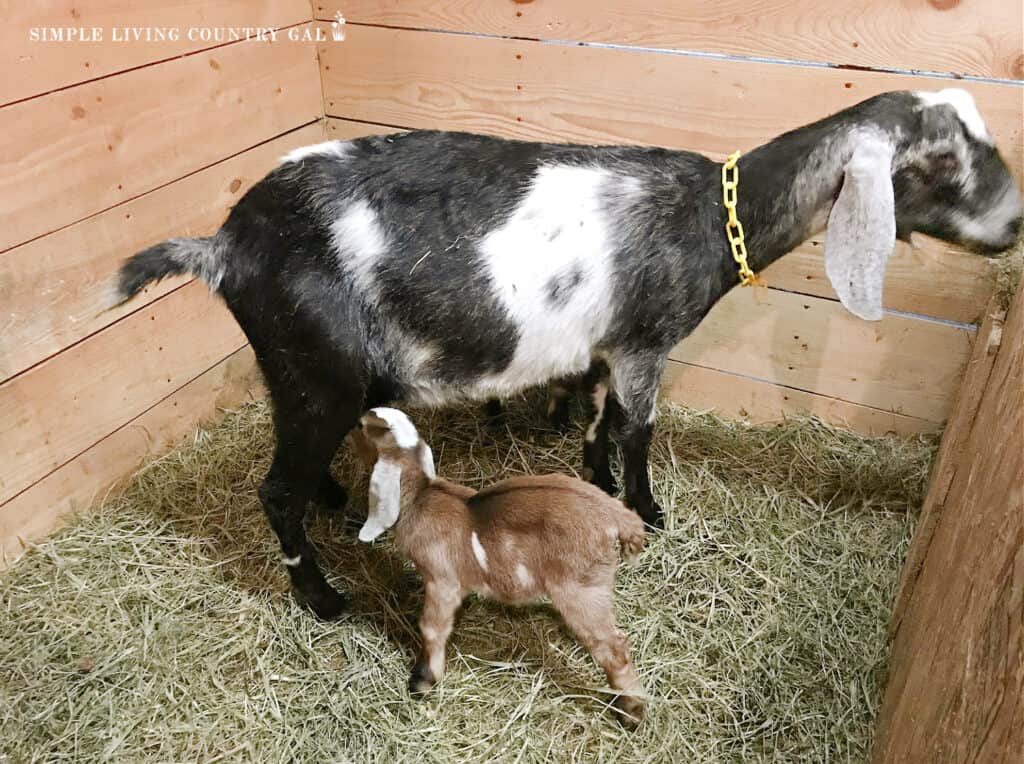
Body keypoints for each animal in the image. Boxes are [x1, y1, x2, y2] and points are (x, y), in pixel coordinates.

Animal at [114, 89, 1024, 618]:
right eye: (939, 159)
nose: (1016, 223)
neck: (708, 215)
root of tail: (225, 246)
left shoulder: (608, 344)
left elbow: (601, 418)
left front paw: (597, 483)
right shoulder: (647, 340)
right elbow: (639, 430)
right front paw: (650, 512)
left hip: (299, 371)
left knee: (299, 465)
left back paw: (336, 498)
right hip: (316, 367)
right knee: (274, 492)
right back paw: (323, 598)